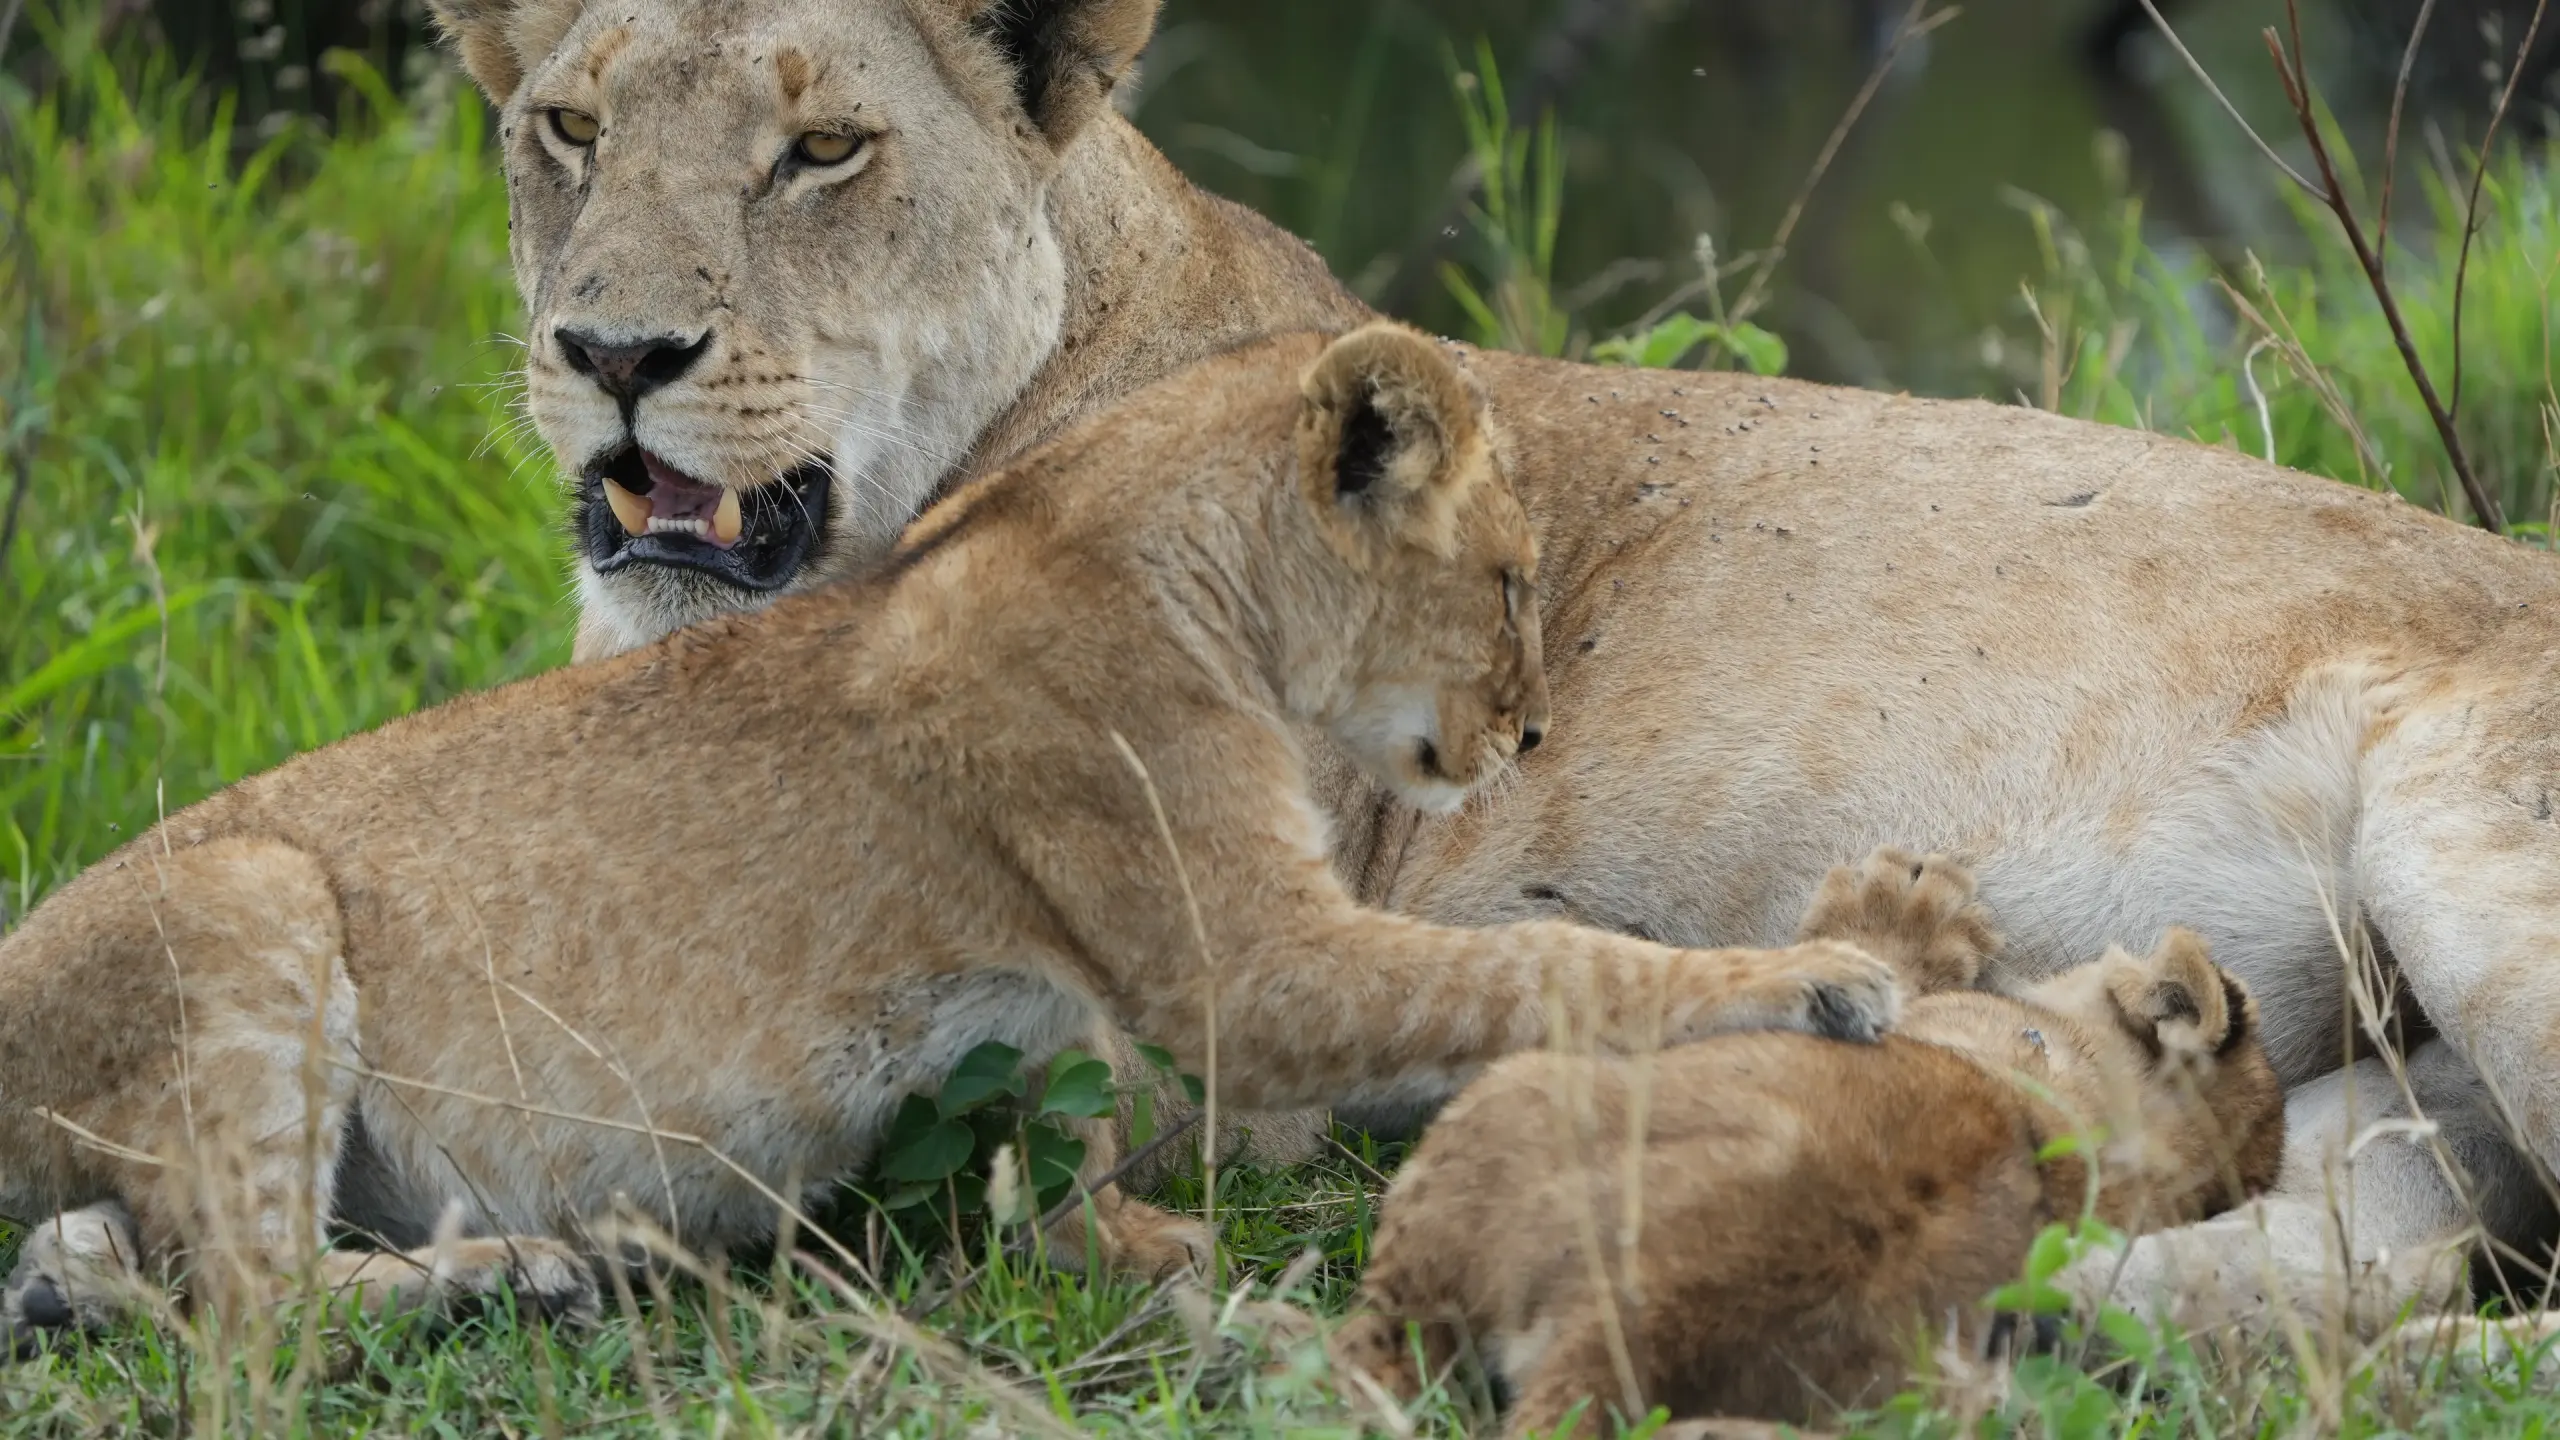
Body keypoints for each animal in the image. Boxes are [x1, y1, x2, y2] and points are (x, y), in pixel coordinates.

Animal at [0, 325, 1913, 1351]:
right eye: (1512, 579)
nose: (1528, 734)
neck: (1195, 585)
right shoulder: (1258, 967)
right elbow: (1550, 962)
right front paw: (1827, 975)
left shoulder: (1105, 1014)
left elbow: (1084, 1140)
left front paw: (1118, 1241)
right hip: (245, 892)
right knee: (243, 1307)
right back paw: (531, 1271)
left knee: (120, 1262)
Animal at [411, 0, 2560, 1323]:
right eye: (567, 129)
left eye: (826, 150)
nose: (609, 356)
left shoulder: (1198, 1027)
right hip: (2390, 1103)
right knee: (2351, 1273)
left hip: (2476, 880)